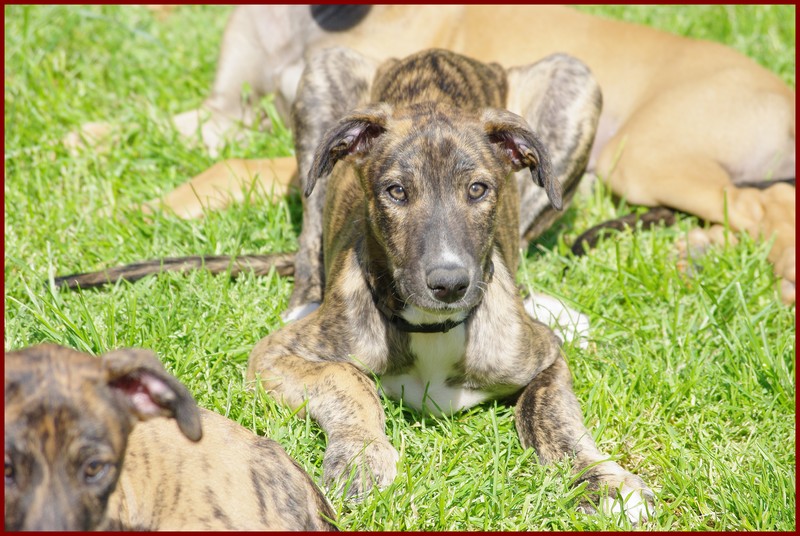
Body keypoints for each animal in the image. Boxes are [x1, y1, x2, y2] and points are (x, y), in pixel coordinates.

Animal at [68, 5, 791, 304]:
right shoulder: (228, 107)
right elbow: (148, 119)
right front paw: (80, 136)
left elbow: (233, 166)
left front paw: (155, 204)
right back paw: (693, 253)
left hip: (633, 147)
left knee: (773, 205)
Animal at [243, 47, 654, 523]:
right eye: (396, 191)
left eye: (478, 189)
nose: (449, 284)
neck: (431, 328)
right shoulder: (273, 355)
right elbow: (346, 378)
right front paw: (361, 459)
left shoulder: (545, 357)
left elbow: (548, 412)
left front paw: (602, 481)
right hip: (322, 79)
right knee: (311, 224)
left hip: (574, 83)